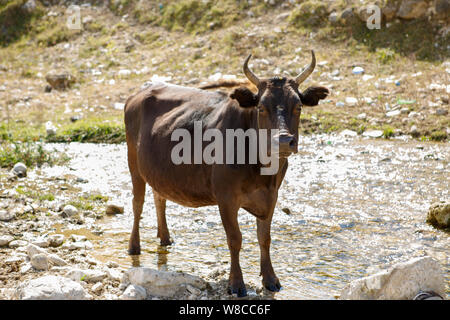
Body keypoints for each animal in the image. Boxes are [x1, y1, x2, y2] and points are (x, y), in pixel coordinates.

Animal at [125, 50, 328, 298]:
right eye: (261, 107)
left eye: (298, 106)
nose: (282, 140)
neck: (263, 172)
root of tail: (142, 90)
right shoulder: (225, 197)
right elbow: (235, 239)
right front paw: (236, 283)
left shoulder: (272, 195)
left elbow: (265, 238)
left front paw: (271, 279)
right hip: (133, 162)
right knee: (137, 203)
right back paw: (134, 247)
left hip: (158, 171)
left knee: (159, 198)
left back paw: (165, 238)